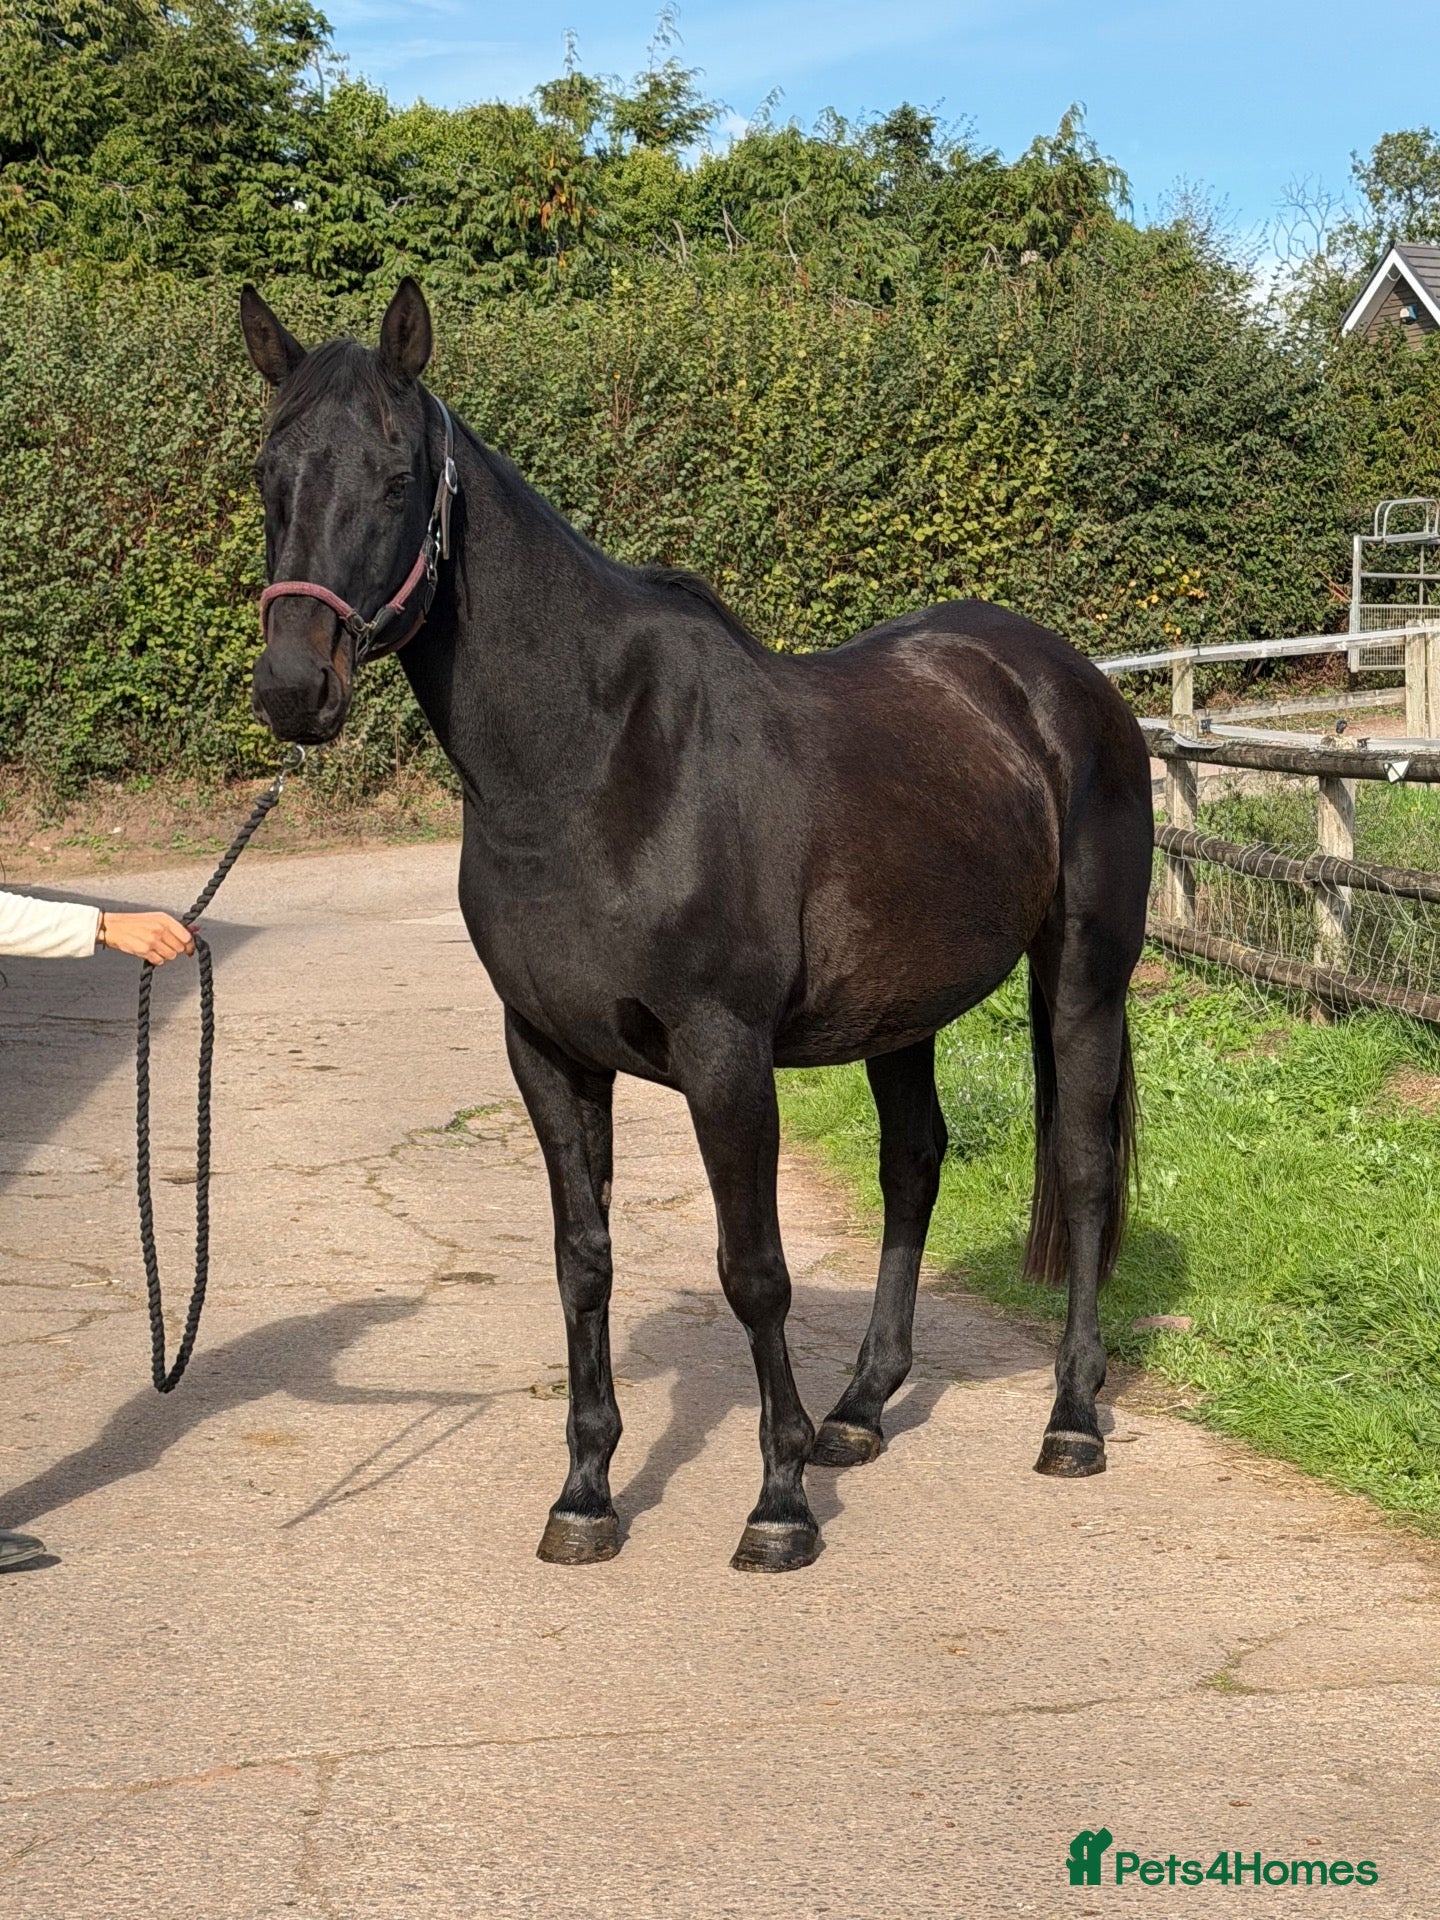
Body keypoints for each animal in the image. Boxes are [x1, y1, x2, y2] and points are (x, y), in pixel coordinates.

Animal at [240, 277, 1153, 1574]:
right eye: (270, 470)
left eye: (395, 472)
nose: (293, 688)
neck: (596, 762)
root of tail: (1065, 683)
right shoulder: (546, 1053)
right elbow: (582, 1264)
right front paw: (586, 1494)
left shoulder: (725, 1056)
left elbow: (753, 1271)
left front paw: (778, 1505)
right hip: (901, 1012)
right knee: (914, 1164)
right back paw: (860, 1410)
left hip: (1082, 978)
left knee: (1077, 1169)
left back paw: (1070, 1417)